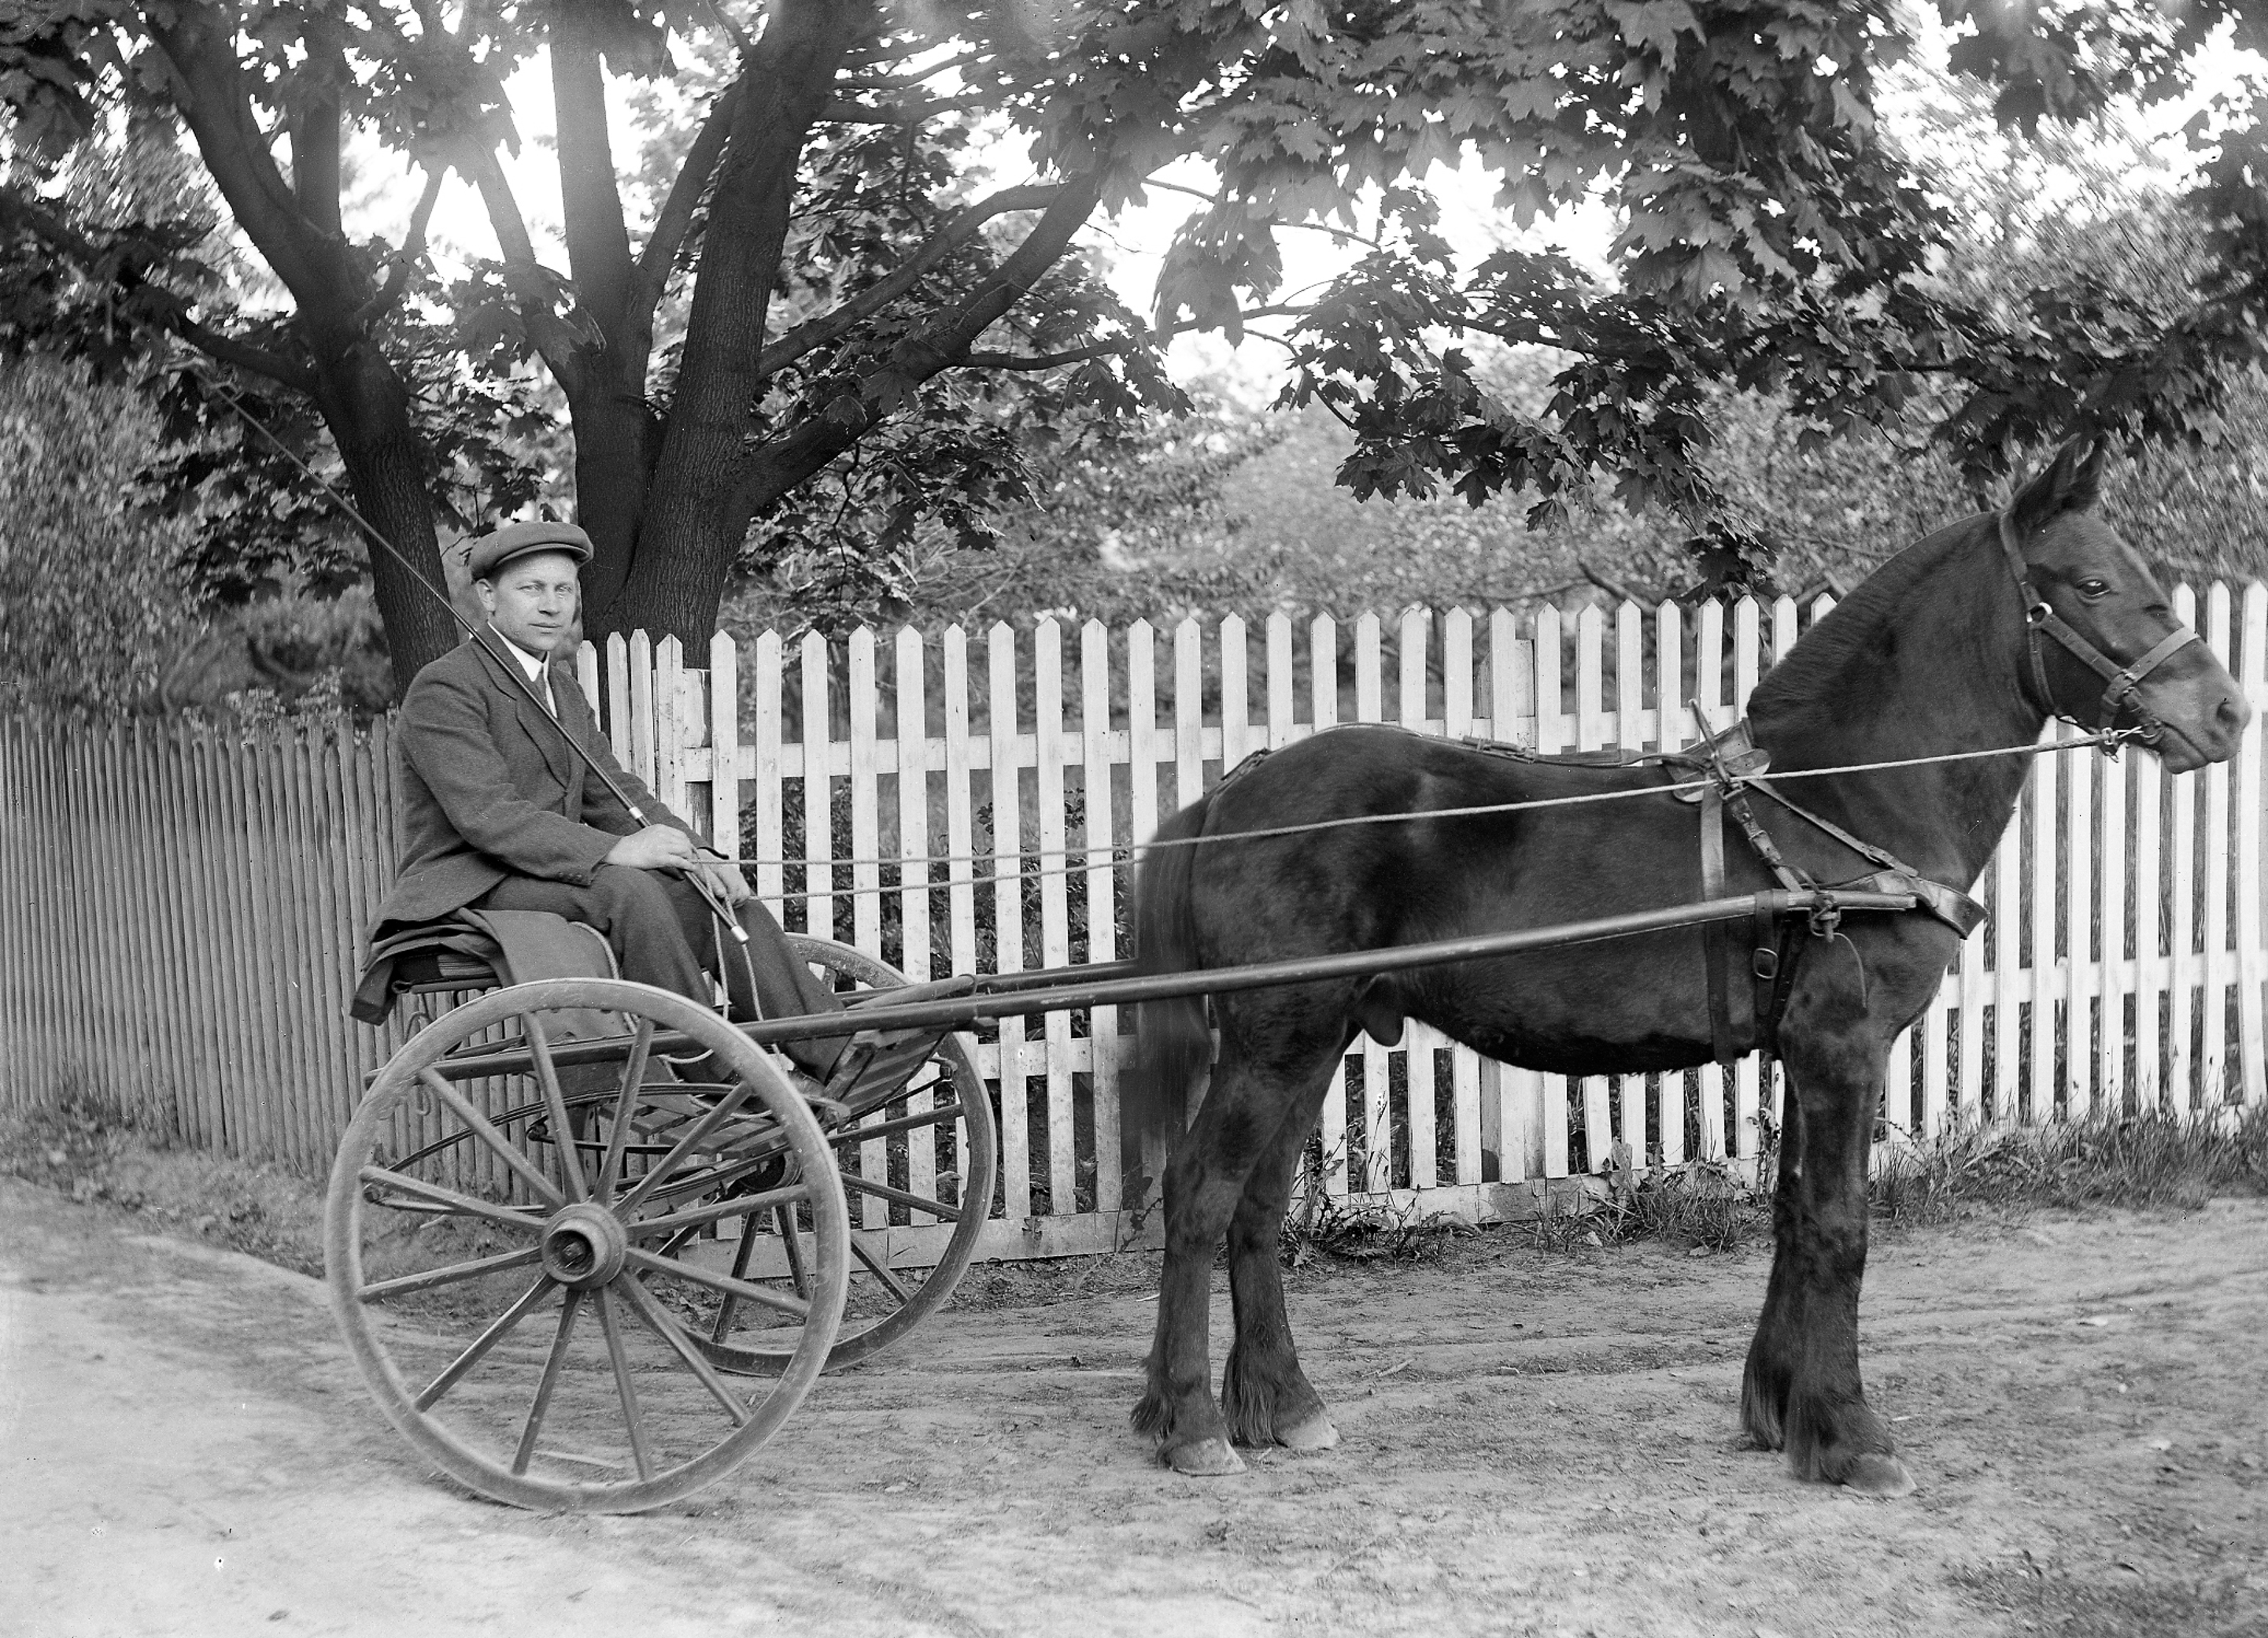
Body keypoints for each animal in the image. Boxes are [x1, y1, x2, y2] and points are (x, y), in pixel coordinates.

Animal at [1123, 437, 2250, 1496]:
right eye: (2090, 582)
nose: (2227, 712)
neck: (1838, 800)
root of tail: (1231, 792)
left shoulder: (1804, 1049)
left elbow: (1793, 1214)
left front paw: (1780, 1411)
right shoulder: (1843, 1045)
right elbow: (1840, 1225)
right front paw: (1851, 1435)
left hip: (1313, 1038)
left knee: (1257, 1207)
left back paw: (1283, 1404)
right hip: (1274, 1037)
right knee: (1200, 1191)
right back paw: (1191, 1422)